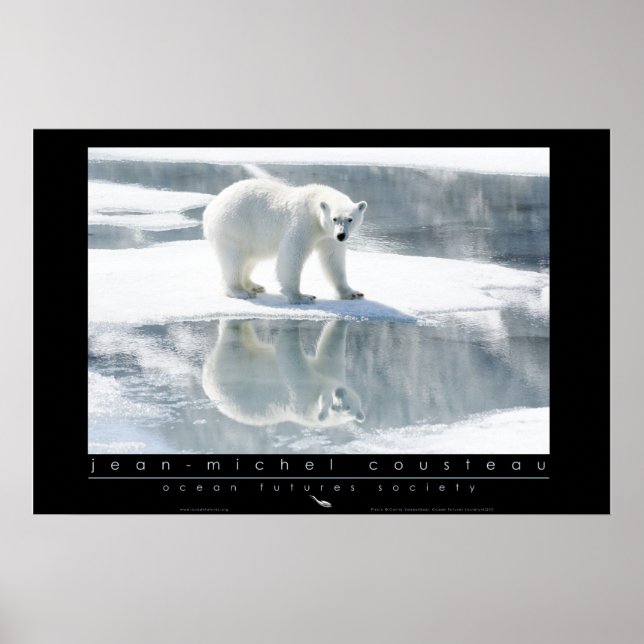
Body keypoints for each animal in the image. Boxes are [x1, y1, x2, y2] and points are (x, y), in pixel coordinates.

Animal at [202, 179, 367, 304]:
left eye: (350, 219)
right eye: (334, 218)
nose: (341, 235)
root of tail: (209, 208)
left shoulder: (327, 236)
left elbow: (333, 259)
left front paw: (352, 293)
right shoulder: (303, 223)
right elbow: (292, 254)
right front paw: (301, 297)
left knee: (250, 258)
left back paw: (254, 285)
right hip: (234, 225)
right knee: (234, 258)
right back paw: (241, 291)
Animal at [202, 319, 365, 428]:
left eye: (344, 407)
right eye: (335, 403)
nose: (339, 392)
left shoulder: (302, 395)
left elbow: (290, 357)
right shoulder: (329, 374)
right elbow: (330, 348)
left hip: (231, 366)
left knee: (234, 339)